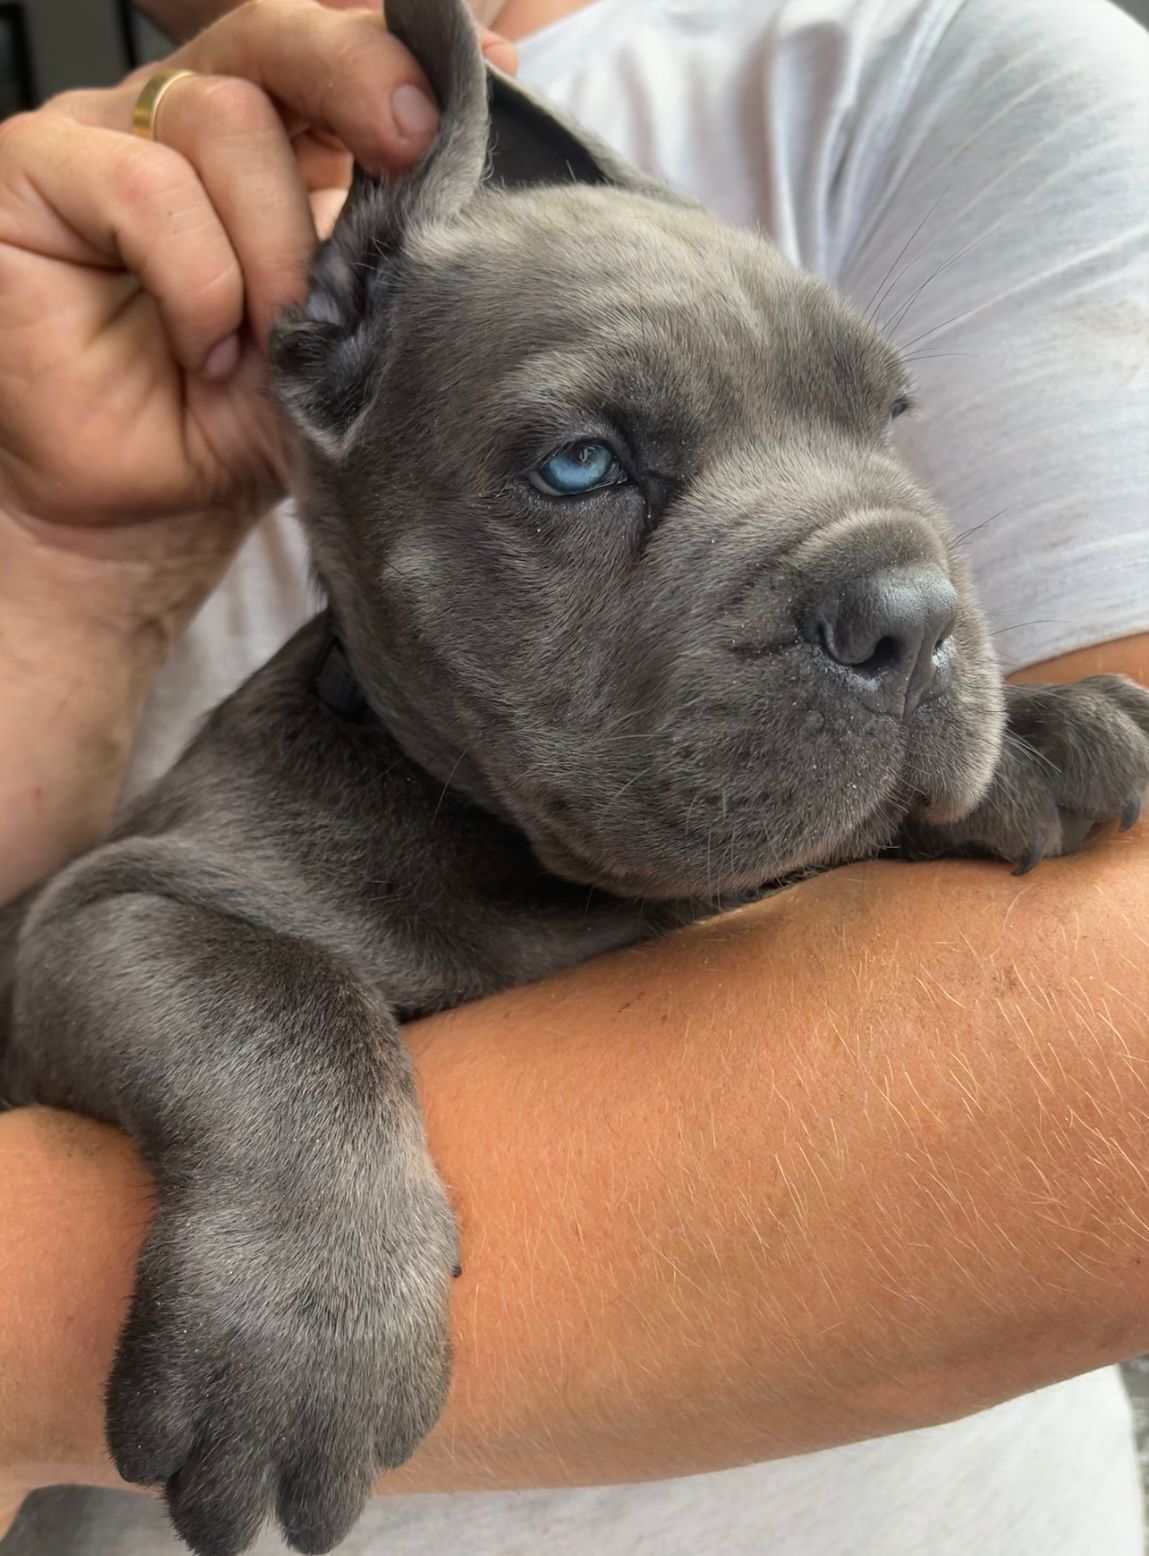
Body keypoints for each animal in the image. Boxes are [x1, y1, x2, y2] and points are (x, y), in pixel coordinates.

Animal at [2, 3, 1145, 1556]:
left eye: (889, 416)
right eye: (580, 465)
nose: (908, 610)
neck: (506, 851)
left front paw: (1033, 737)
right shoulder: (99, 914)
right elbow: (281, 995)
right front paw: (307, 1327)